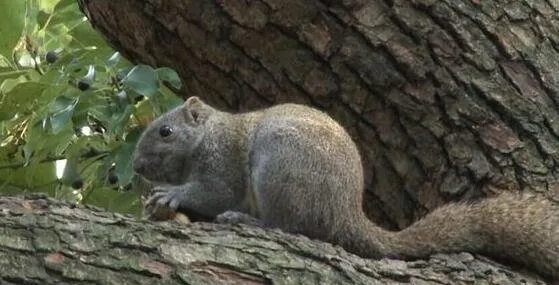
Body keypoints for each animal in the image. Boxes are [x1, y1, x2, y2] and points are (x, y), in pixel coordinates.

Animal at [133, 96, 556, 280]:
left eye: (165, 131)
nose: (136, 166)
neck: (207, 137)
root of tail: (345, 215)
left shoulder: (223, 165)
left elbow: (214, 192)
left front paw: (172, 195)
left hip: (280, 166)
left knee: (293, 226)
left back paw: (246, 221)